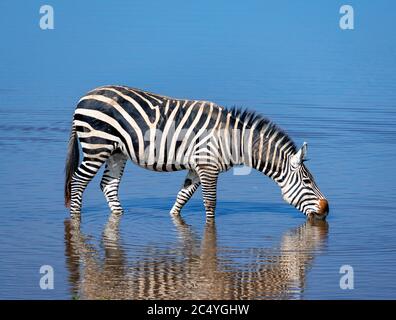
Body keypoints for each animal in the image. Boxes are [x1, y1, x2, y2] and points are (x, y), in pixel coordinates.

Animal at [65, 85, 330, 220]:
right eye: (307, 181)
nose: (326, 211)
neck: (232, 139)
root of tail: (83, 97)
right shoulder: (208, 167)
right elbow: (210, 203)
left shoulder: (196, 167)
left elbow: (182, 198)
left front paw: (173, 218)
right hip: (97, 146)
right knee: (78, 182)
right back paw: (75, 219)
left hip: (116, 152)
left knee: (108, 186)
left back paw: (120, 215)